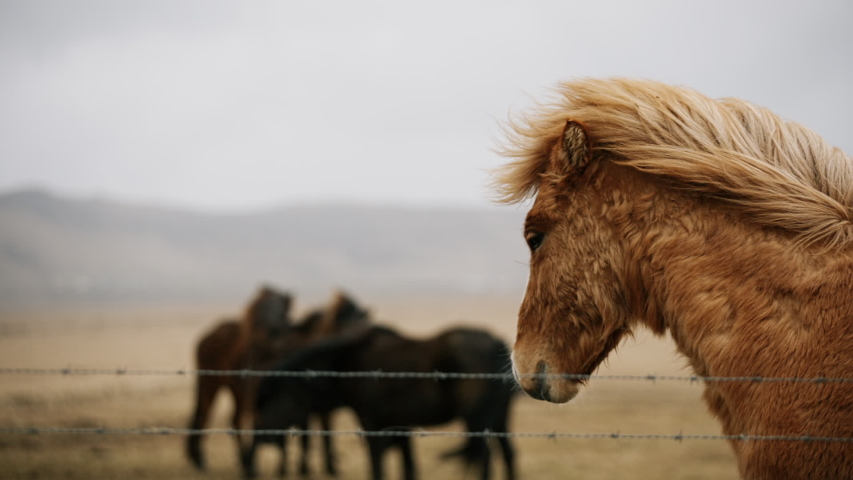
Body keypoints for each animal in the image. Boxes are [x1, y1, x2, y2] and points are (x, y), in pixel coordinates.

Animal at [186, 288, 369, 476]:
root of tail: (207, 336)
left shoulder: (315, 407)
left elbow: (323, 433)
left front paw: (327, 467)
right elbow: (299, 436)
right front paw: (296, 469)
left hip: (236, 391)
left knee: (235, 420)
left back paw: (241, 460)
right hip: (211, 383)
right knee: (204, 413)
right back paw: (206, 460)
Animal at [243, 324, 517, 480]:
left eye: (272, 400)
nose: (263, 436)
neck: (348, 364)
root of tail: (497, 343)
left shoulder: (373, 424)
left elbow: (377, 466)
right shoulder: (399, 427)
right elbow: (408, 467)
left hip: (477, 420)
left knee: (485, 458)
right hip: (499, 419)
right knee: (507, 454)